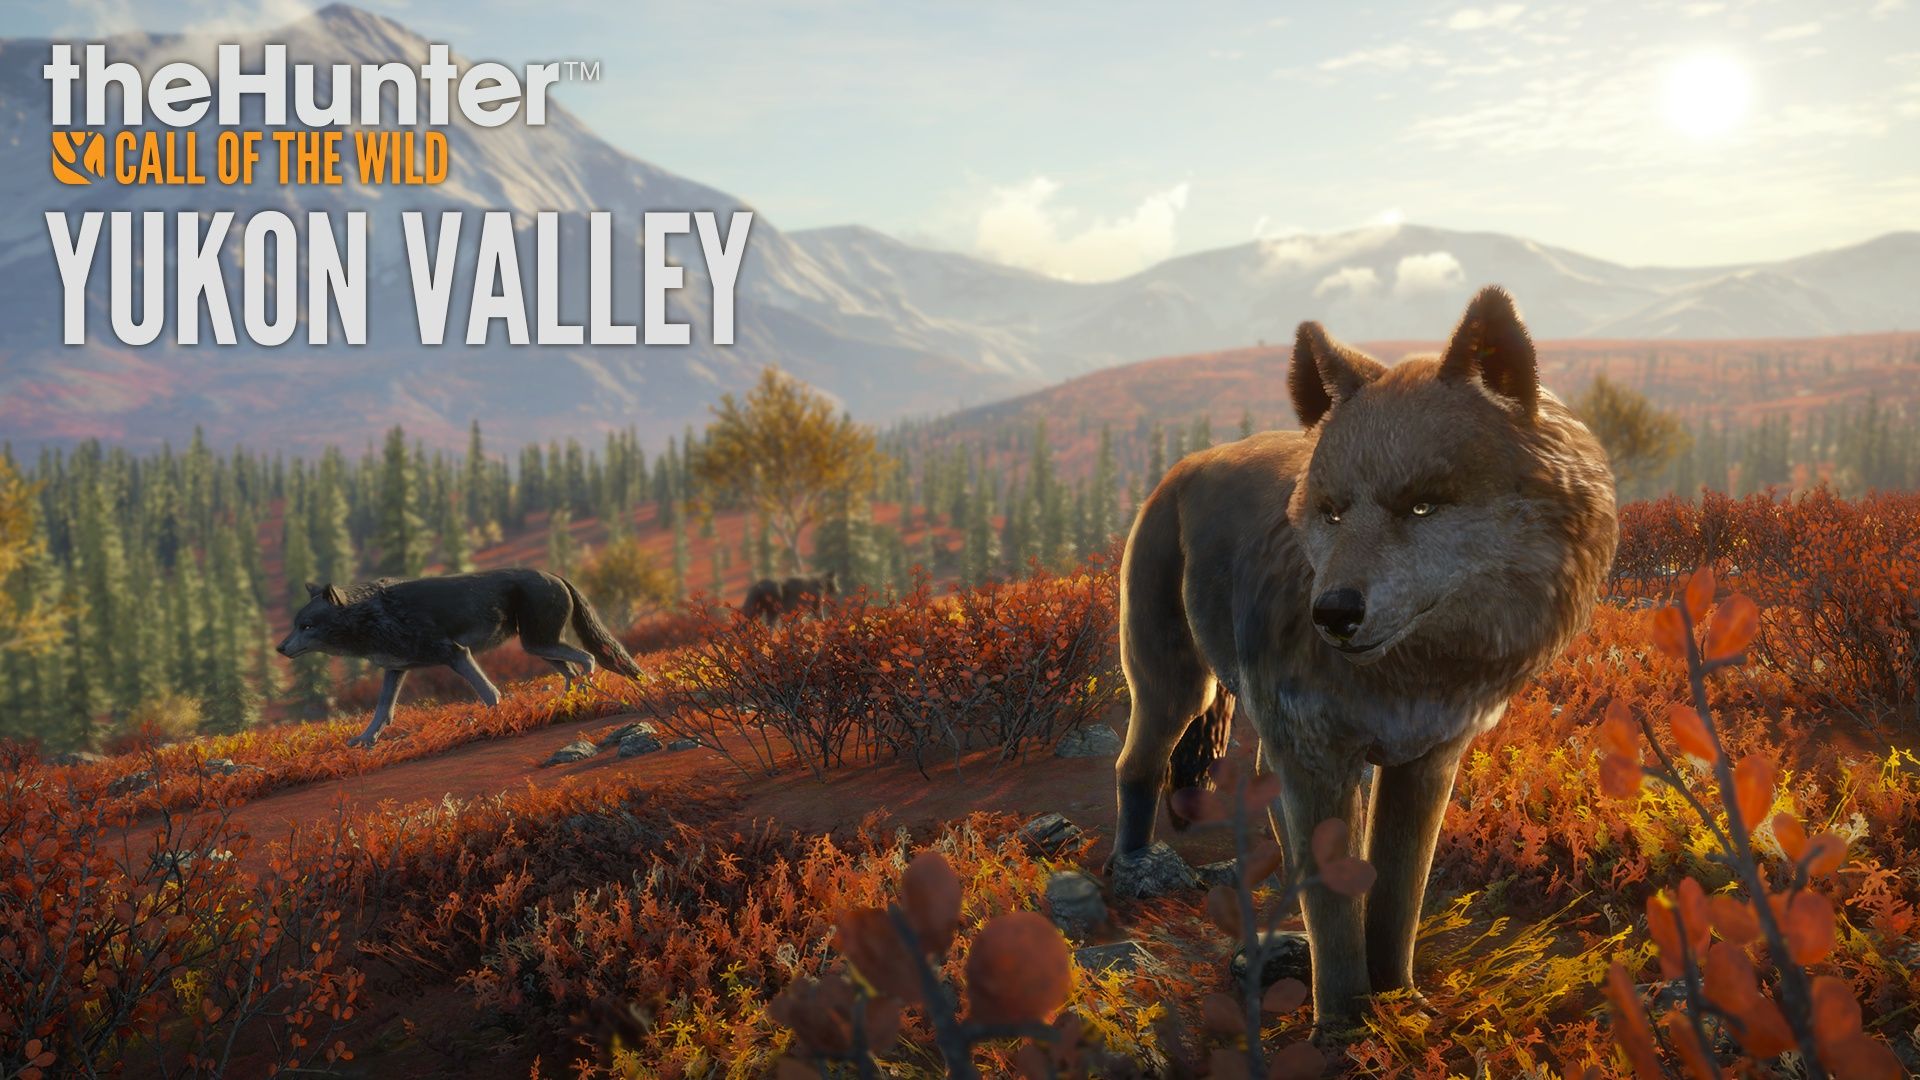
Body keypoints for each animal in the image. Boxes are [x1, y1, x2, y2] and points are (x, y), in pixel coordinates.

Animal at [277, 567, 643, 747]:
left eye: (306, 626)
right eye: (295, 624)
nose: (280, 648)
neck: (373, 614)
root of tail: (557, 575)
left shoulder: (455, 653)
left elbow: (489, 693)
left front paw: (492, 723)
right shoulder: (396, 669)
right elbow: (382, 710)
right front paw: (365, 740)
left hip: (540, 644)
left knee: (587, 660)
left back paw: (584, 696)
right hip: (539, 648)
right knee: (572, 669)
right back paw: (562, 704)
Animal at [1110, 287, 1617, 1027]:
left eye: (1422, 506)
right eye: (1334, 512)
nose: (1333, 613)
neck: (1412, 674)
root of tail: (1179, 469)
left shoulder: (1426, 761)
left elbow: (1396, 895)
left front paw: (1399, 1000)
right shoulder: (1319, 755)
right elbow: (1336, 901)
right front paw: (1345, 1022)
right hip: (1176, 690)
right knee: (1137, 766)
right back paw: (1132, 867)